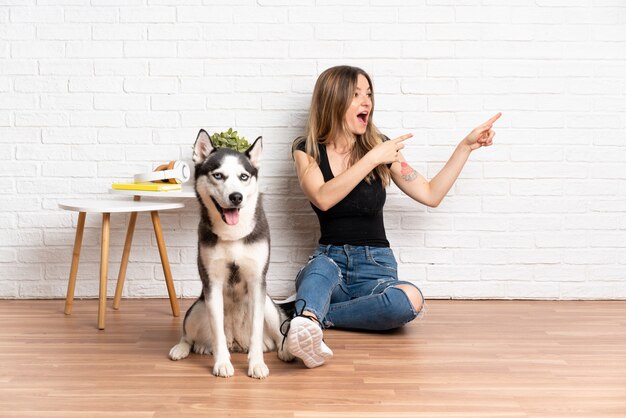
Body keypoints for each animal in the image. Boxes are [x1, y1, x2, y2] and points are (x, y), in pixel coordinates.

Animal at [167, 130, 292, 378]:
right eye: (218, 175)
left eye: (244, 176)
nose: (236, 197)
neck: (233, 234)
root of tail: (237, 343)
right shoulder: (212, 284)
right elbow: (218, 333)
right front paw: (222, 362)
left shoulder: (257, 282)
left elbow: (256, 330)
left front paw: (256, 364)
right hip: (197, 308)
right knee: (189, 335)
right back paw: (182, 348)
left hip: (269, 307)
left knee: (278, 333)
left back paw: (283, 350)